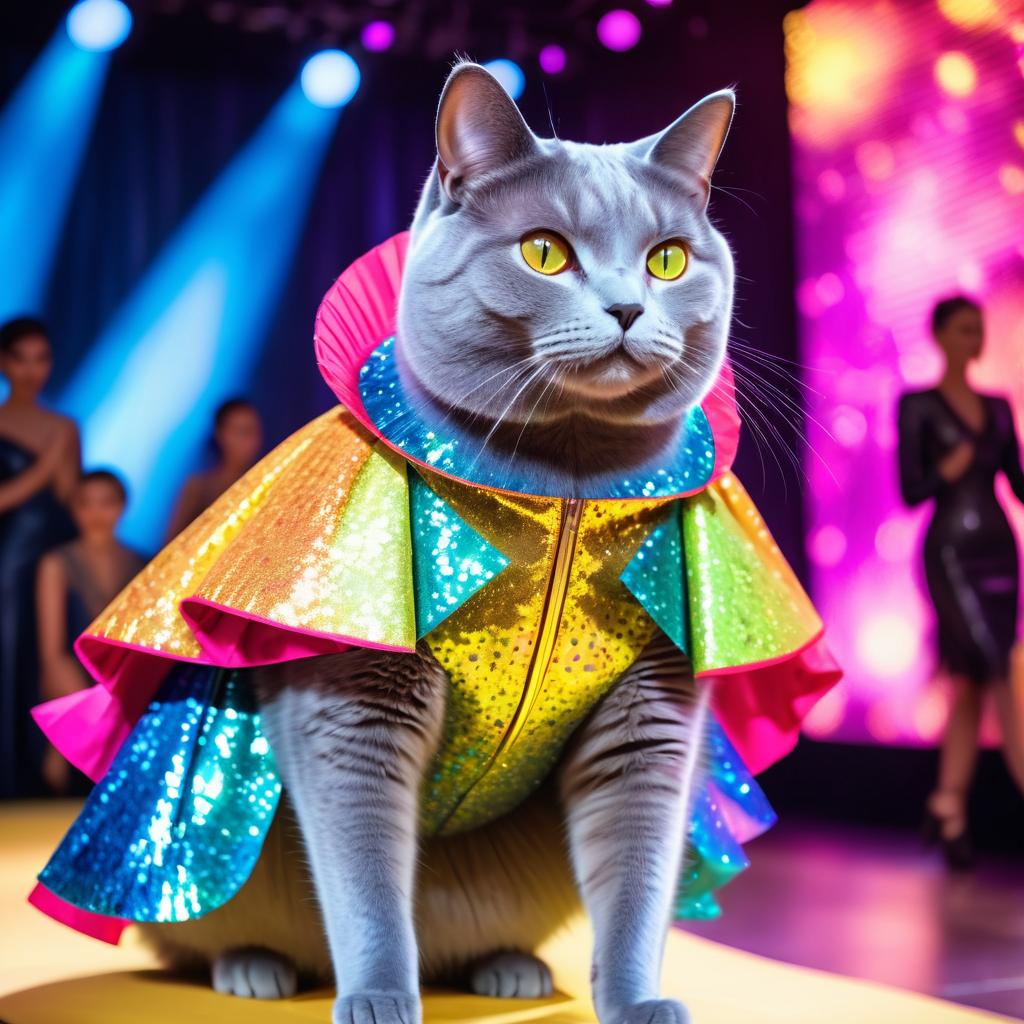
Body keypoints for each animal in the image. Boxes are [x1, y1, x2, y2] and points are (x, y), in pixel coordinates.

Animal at [142, 61, 737, 1024]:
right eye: (544, 252)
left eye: (669, 259)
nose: (627, 307)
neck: (569, 485)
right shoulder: (348, 703)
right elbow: (366, 880)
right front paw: (382, 996)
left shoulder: (652, 711)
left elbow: (638, 876)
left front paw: (639, 1002)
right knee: (201, 927)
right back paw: (252, 966)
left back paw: (506, 966)